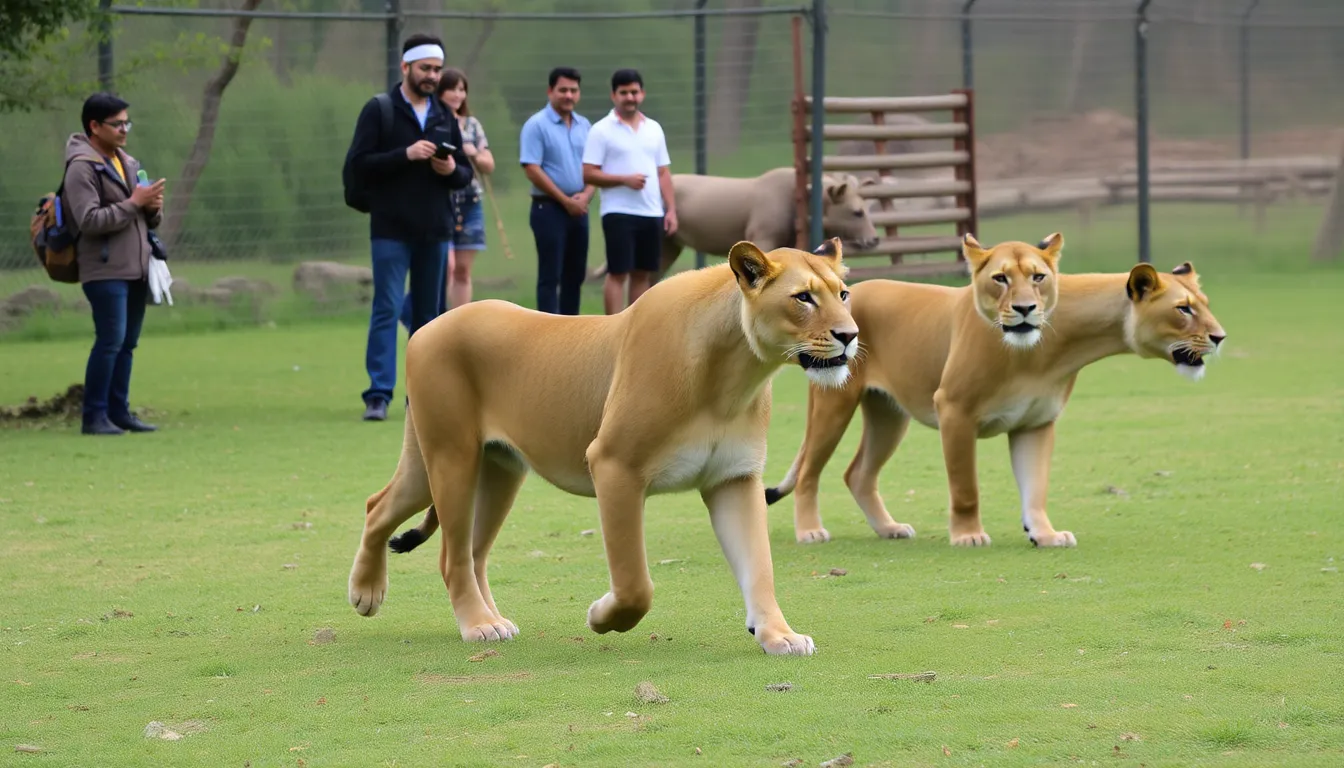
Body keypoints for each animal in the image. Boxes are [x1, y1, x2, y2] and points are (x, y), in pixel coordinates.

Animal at [346, 238, 860, 656]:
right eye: (803, 297)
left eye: (843, 294)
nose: (851, 335)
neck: (736, 374)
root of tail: (429, 325)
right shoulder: (615, 466)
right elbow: (635, 584)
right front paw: (601, 616)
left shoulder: (733, 479)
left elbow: (758, 566)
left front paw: (778, 635)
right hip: (452, 457)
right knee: (448, 553)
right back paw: (472, 624)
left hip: (489, 467)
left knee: (398, 515)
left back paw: (428, 605)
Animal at [765, 233, 1228, 548]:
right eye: (1183, 309)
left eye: (1039, 277)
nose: (1220, 337)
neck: (1040, 352)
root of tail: (845, 290)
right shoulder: (954, 410)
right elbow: (965, 486)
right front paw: (968, 535)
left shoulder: (1036, 423)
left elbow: (1035, 486)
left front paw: (1044, 534)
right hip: (835, 401)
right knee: (809, 472)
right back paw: (811, 531)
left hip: (889, 414)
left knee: (858, 473)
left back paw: (890, 528)